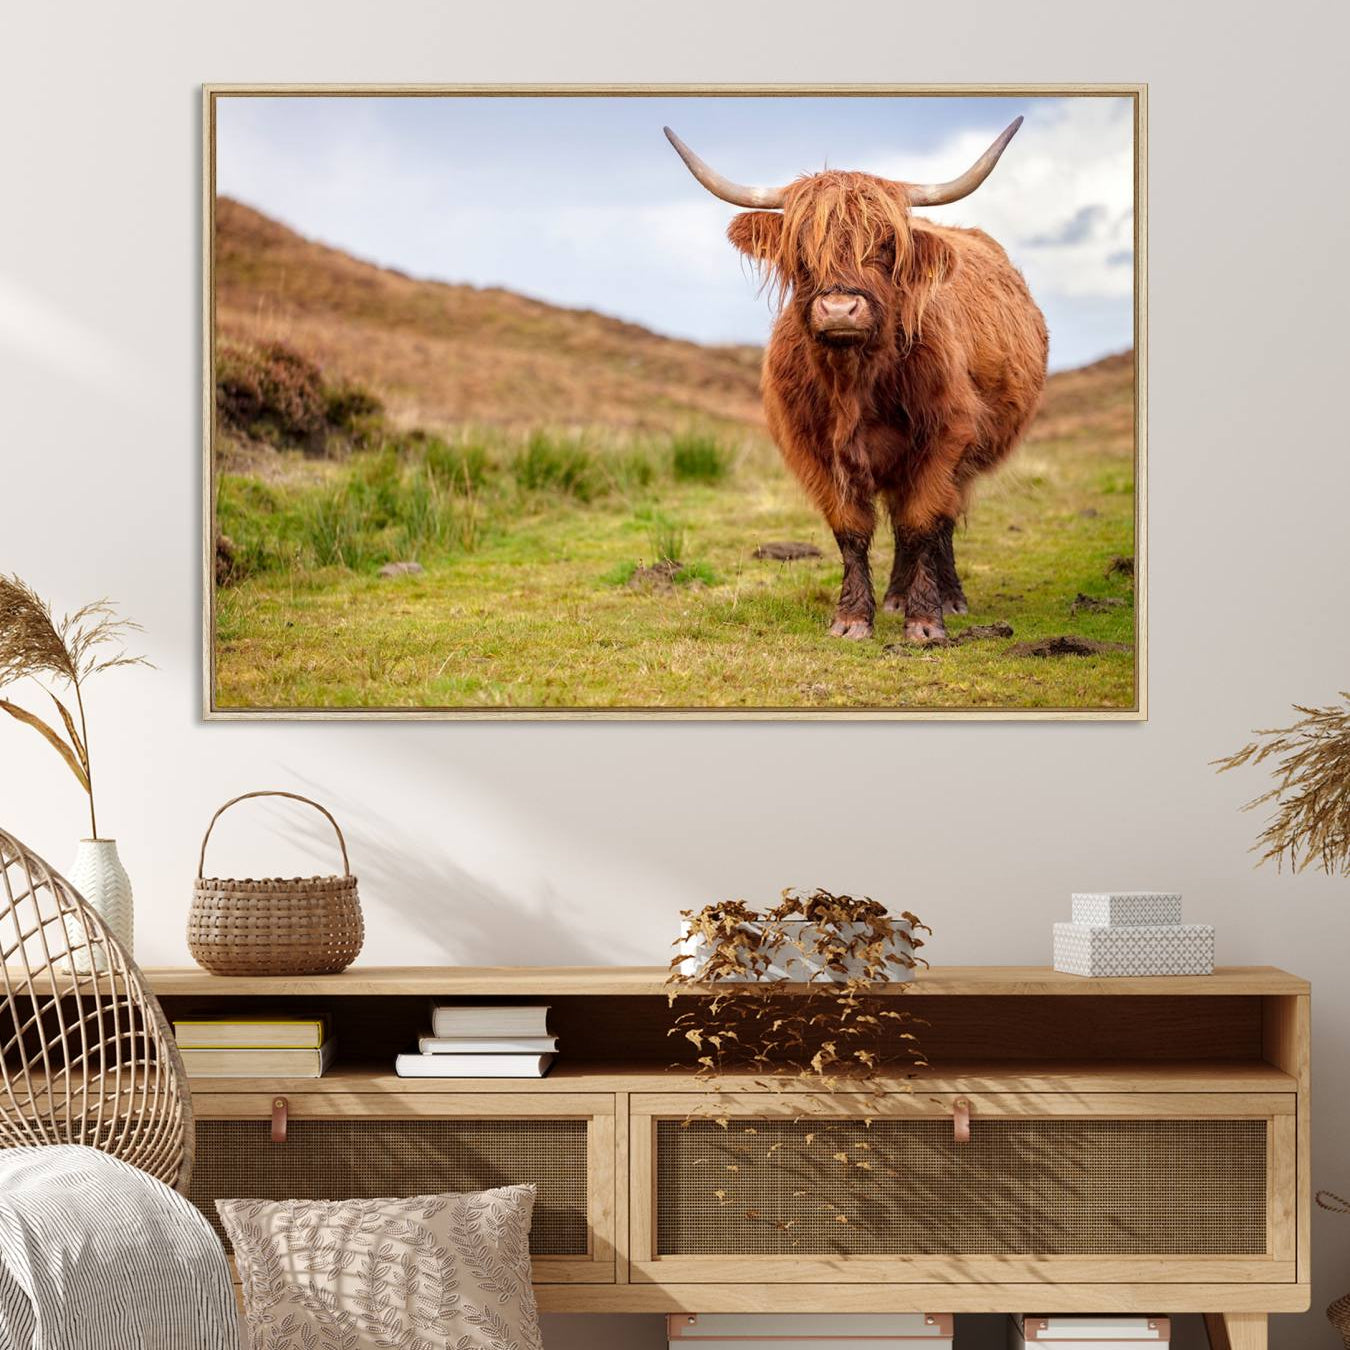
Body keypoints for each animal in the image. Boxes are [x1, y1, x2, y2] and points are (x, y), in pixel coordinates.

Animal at [665, 119, 1048, 644]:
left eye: (886, 245)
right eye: (801, 249)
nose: (840, 309)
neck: (855, 382)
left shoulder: (945, 437)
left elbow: (922, 522)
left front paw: (925, 622)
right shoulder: (815, 449)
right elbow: (851, 529)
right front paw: (851, 618)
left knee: (939, 522)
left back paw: (947, 596)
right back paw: (894, 596)